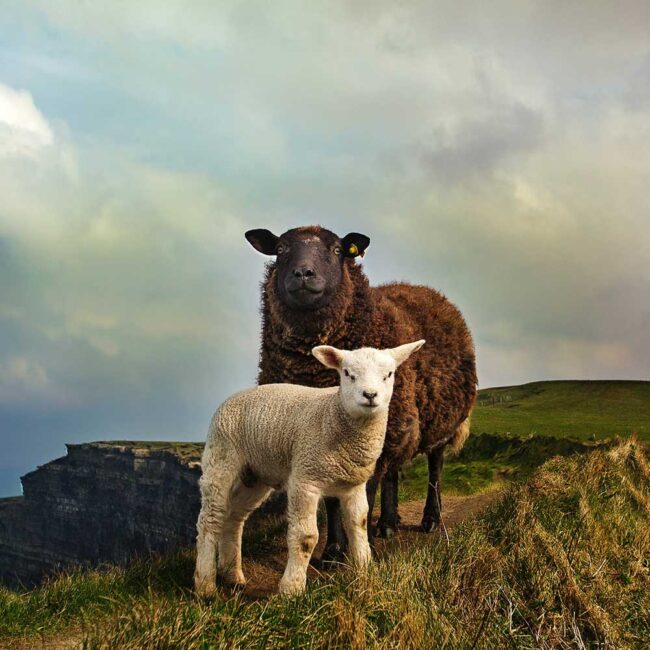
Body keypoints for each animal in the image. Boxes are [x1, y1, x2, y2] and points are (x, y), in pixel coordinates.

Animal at [192, 336, 426, 596]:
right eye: (347, 374)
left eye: (389, 374)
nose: (370, 394)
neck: (333, 415)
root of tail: (232, 397)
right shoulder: (305, 479)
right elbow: (306, 537)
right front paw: (292, 589)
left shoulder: (353, 485)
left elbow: (359, 525)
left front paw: (365, 572)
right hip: (221, 458)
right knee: (210, 519)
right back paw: (206, 585)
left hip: (255, 475)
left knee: (234, 517)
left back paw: (232, 575)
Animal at [244, 225, 476, 560]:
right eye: (281, 249)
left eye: (337, 250)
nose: (303, 273)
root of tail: (427, 290)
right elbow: (333, 500)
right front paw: (333, 551)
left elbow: (362, 495)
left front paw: (358, 551)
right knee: (394, 472)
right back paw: (388, 524)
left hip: (439, 422)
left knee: (435, 469)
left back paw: (430, 519)